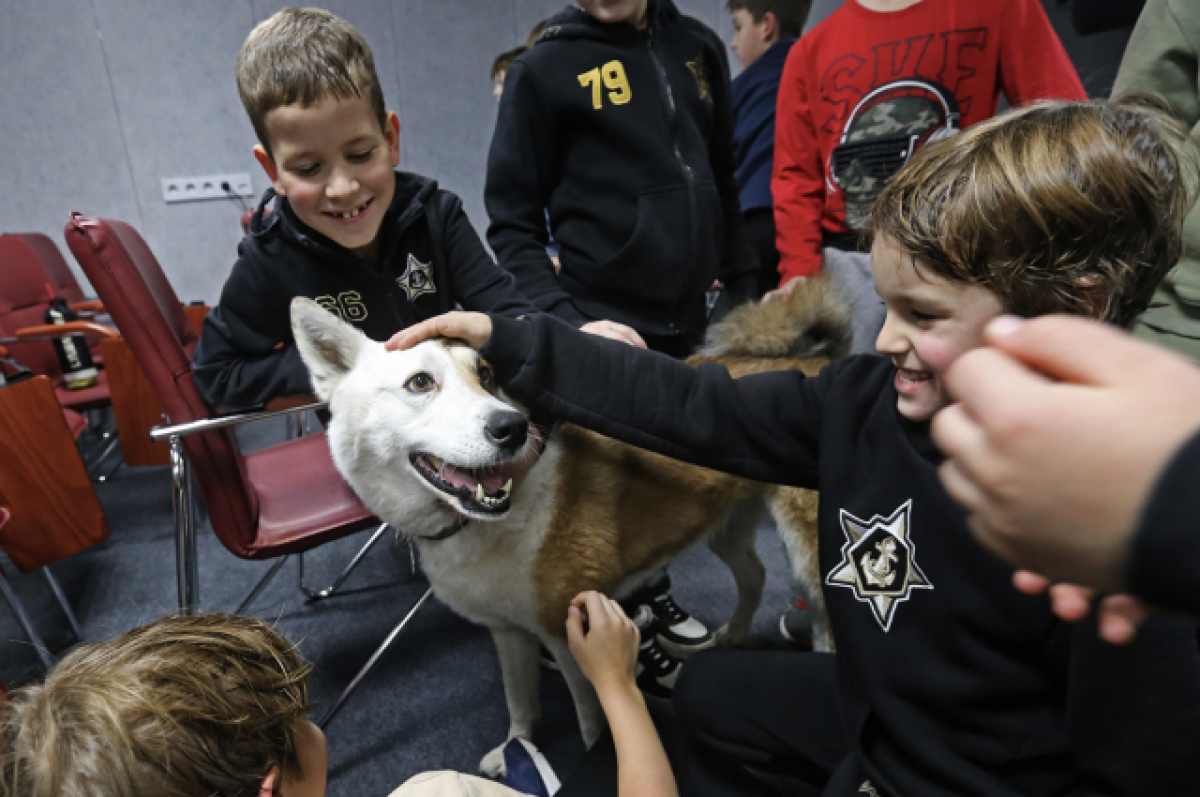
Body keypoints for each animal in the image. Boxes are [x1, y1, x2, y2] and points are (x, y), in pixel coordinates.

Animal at [291, 277, 854, 772]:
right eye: (420, 383)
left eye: (487, 376)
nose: (513, 427)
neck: (491, 521)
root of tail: (816, 362)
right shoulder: (509, 632)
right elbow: (521, 706)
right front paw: (516, 752)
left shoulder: (568, 638)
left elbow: (591, 723)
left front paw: (593, 760)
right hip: (726, 525)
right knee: (755, 575)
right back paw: (729, 639)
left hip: (808, 549)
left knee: (823, 614)